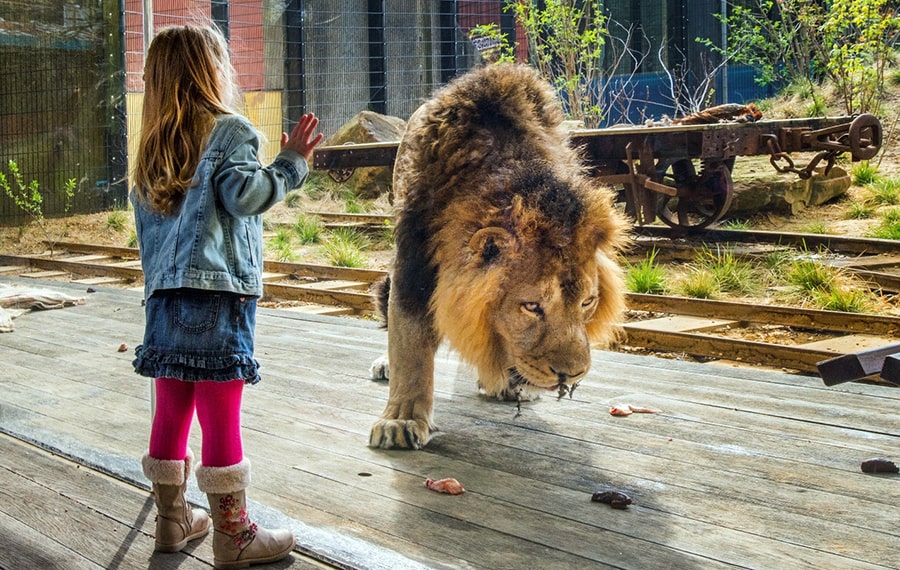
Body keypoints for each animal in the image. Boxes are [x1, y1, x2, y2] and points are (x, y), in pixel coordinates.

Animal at [366, 64, 624, 448]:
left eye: (587, 303)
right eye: (531, 306)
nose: (572, 374)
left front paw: (509, 382)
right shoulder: (414, 264)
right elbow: (409, 344)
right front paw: (401, 420)